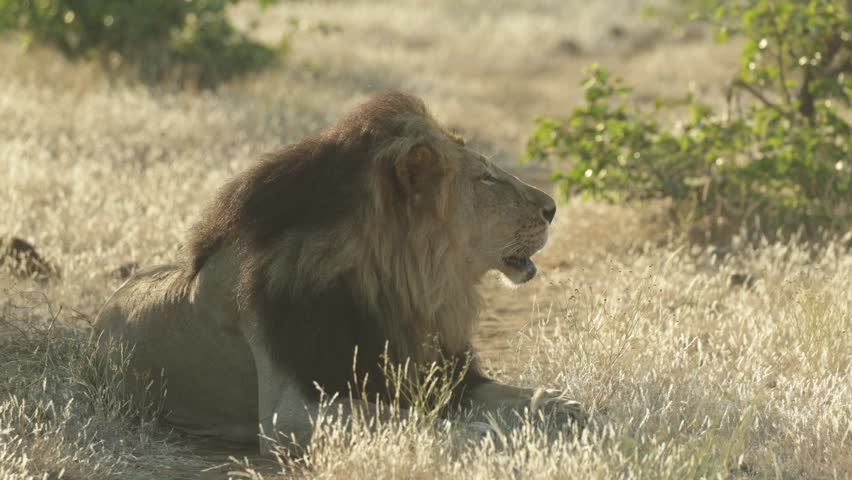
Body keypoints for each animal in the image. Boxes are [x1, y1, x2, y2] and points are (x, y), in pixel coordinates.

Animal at [94, 91, 586, 453]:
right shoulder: (290, 411)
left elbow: (509, 393)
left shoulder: (442, 373)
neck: (398, 289)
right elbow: (398, 417)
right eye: (486, 178)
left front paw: (559, 406)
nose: (553, 208)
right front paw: (476, 434)